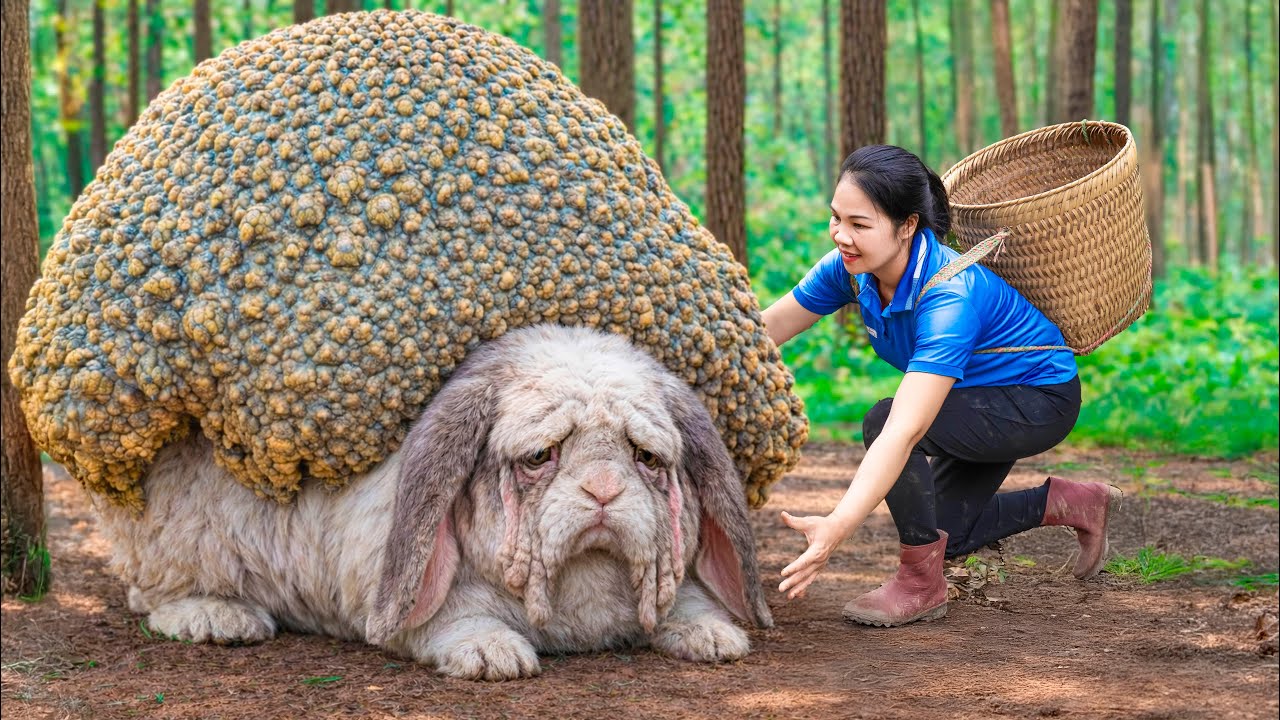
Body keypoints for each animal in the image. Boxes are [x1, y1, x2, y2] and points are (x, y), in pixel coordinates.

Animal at [92, 324, 774, 680]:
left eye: (647, 457)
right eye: (539, 455)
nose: (603, 490)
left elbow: (688, 600)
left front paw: (714, 637)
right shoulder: (413, 593)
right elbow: (457, 617)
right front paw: (492, 654)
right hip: (185, 539)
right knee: (155, 597)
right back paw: (217, 620)